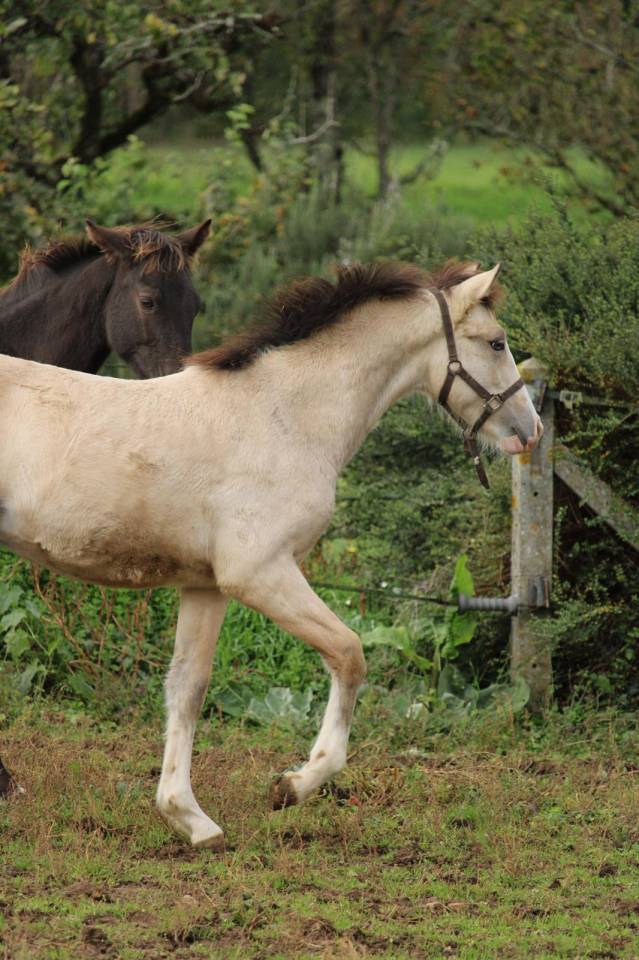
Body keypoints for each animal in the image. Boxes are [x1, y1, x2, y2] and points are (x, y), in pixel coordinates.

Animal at [0, 259, 542, 847]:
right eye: (496, 342)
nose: (531, 430)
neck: (282, 415)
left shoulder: (206, 585)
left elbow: (187, 688)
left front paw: (189, 818)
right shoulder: (259, 574)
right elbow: (349, 653)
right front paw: (294, 785)